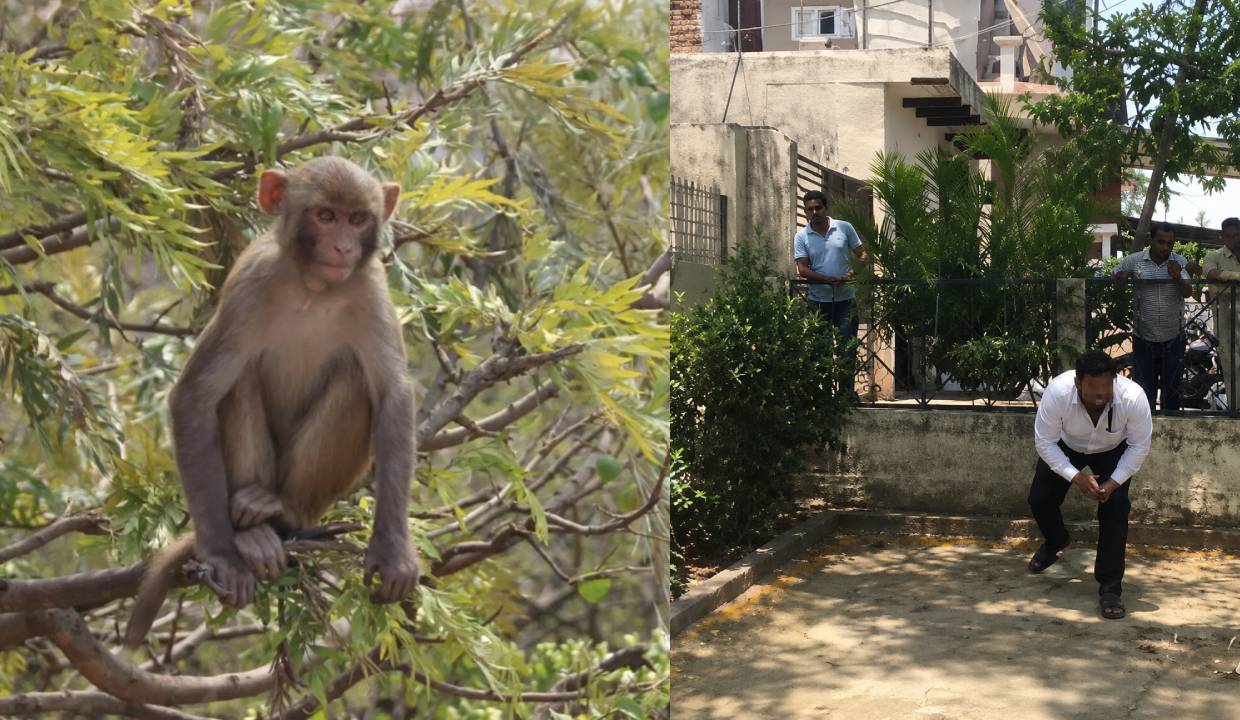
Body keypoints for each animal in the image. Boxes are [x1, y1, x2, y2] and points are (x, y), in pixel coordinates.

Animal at [124, 157, 420, 647]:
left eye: (358, 219)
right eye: (325, 216)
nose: (343, 247)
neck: (313, 289)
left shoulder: (372, 292)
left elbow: (393, 396)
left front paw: (392, 548)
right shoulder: (251, 287)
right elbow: (195, 396)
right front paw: (222, 555)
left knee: (354, 379)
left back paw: (286, 512)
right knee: (240, 378)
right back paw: (252, 532)